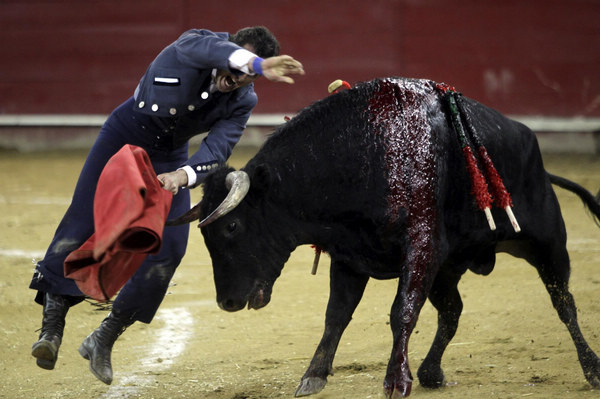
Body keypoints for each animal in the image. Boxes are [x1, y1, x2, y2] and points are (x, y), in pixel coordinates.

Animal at [169, 77, 600, 396]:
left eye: (232, 226)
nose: (226, 302)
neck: (362, 153)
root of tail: (534, 150)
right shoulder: (348, 254)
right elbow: (336, 315)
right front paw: (313, 376)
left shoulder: (421, 246)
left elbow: (401, 312)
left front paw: (396, 381)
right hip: (448, 269)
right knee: (452, 311)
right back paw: (430, 372)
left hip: (547, 242)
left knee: (564, 302)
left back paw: (591, 368)